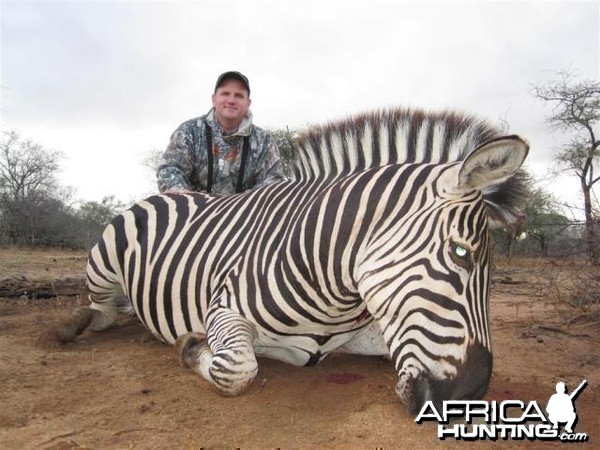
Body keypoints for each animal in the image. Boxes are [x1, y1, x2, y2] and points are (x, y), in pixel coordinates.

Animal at [43, 106, 528, 414]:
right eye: (461, 253)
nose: (468, 397)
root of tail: (166, 194)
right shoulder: (223, 310)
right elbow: (236, 369)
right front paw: (191, 346)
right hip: (103, 261)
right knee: (101, 309)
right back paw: (72, 324)